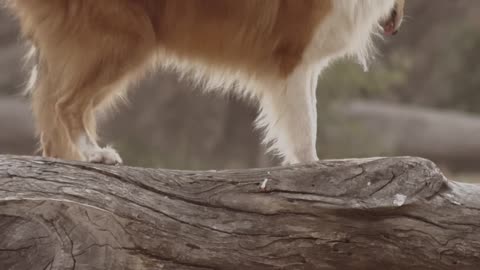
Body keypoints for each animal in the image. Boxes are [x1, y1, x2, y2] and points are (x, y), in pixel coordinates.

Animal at [5, 0, 404, 165]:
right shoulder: (291, 57)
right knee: (67, 104)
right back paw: (95, 154)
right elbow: (304, 126)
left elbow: (308, 116)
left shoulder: (304, 66)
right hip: (122, 39)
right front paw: (312, 168)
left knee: (50, 109)